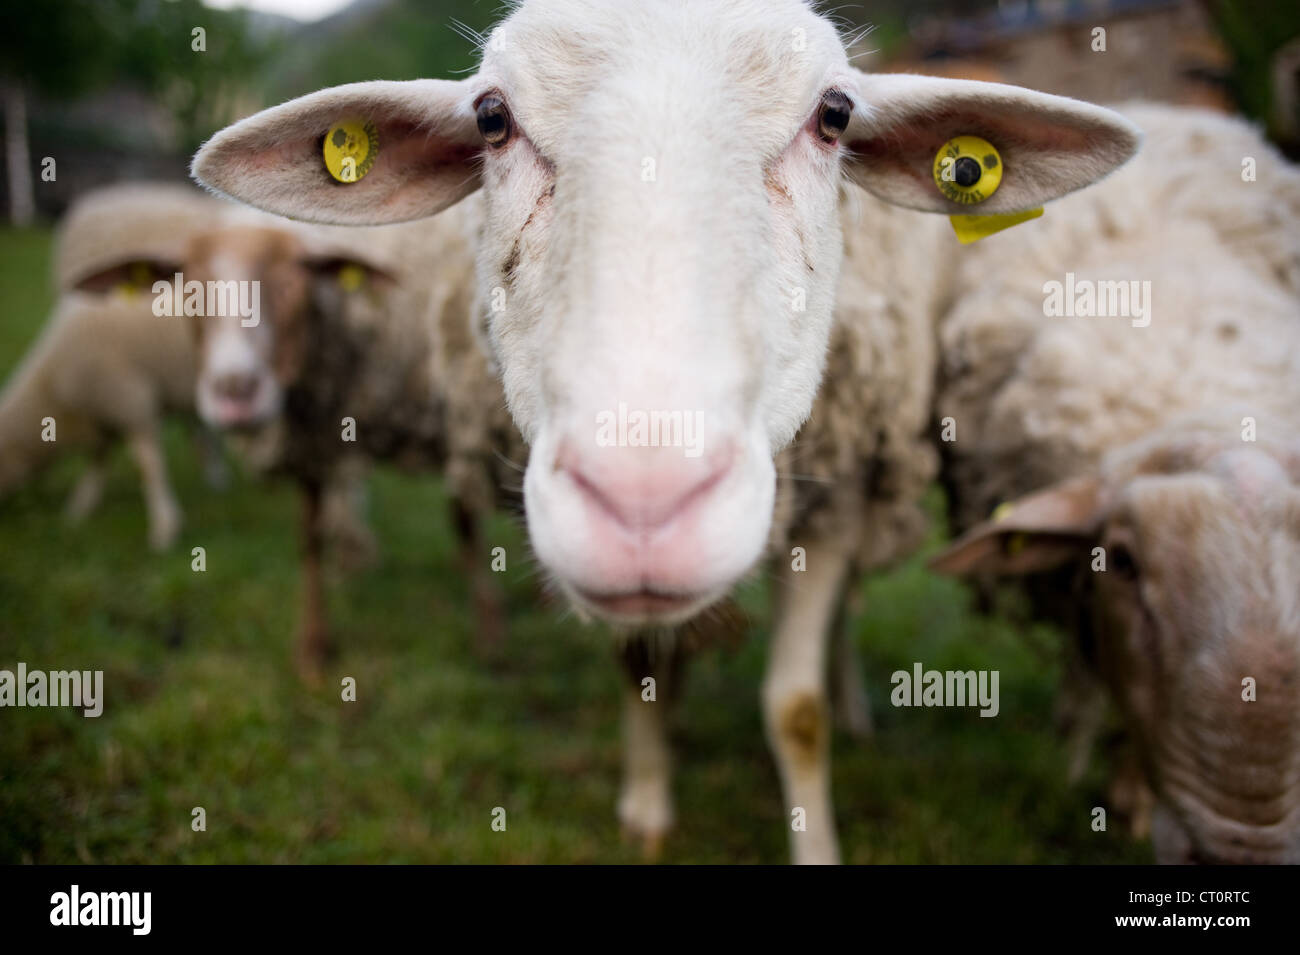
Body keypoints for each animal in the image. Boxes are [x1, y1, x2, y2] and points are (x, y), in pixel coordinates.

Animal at [1, 183, 223, 548]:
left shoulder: (128, 397)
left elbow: (147, 464)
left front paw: (164, 528)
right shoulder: (105, 408)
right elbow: (99, 457)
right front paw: (80, 507)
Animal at [188, 0, 1144, 867]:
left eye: (834, 115)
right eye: (492, 119)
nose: (643, 501)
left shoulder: (836, 502)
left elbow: (796, 711)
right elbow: (640, 671)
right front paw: (648, 808)